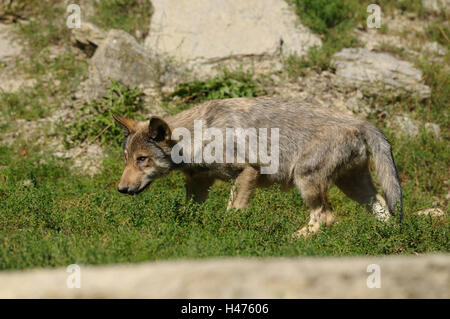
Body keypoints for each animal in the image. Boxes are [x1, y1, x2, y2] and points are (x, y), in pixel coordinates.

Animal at [111, 97, 400, 238]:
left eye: (142, 159)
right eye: (126, 159)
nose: (121, 189)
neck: (199, 136)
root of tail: (359, 121)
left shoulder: (248, 172)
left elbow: (233, 213)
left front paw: (227, 233)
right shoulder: (198, 183)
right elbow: (190, 211)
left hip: (306, 181)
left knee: (326, 217)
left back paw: (293, 240)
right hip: (352, 187)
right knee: (382, 206)